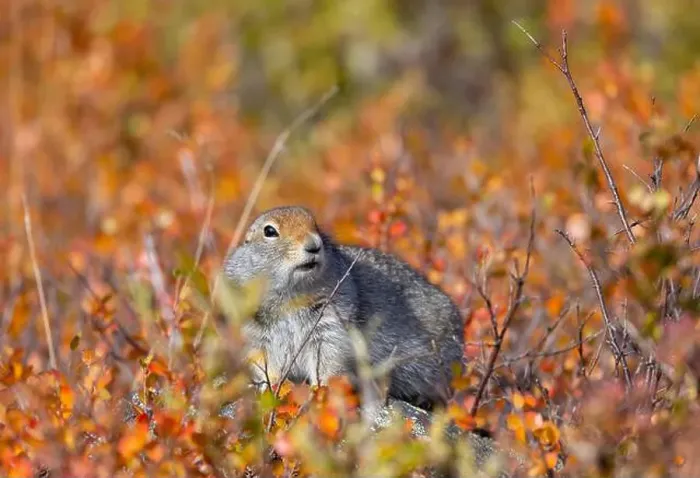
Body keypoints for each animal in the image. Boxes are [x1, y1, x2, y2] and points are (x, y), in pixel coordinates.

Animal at [223, 206, 465, 412]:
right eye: (270, 231)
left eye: (315, 224)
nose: (314, 245)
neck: (292, 295)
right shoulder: (253, 330)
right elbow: (264, 361)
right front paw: (269, 388)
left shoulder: (329, 322)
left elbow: (328, 357)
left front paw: (322, 391)